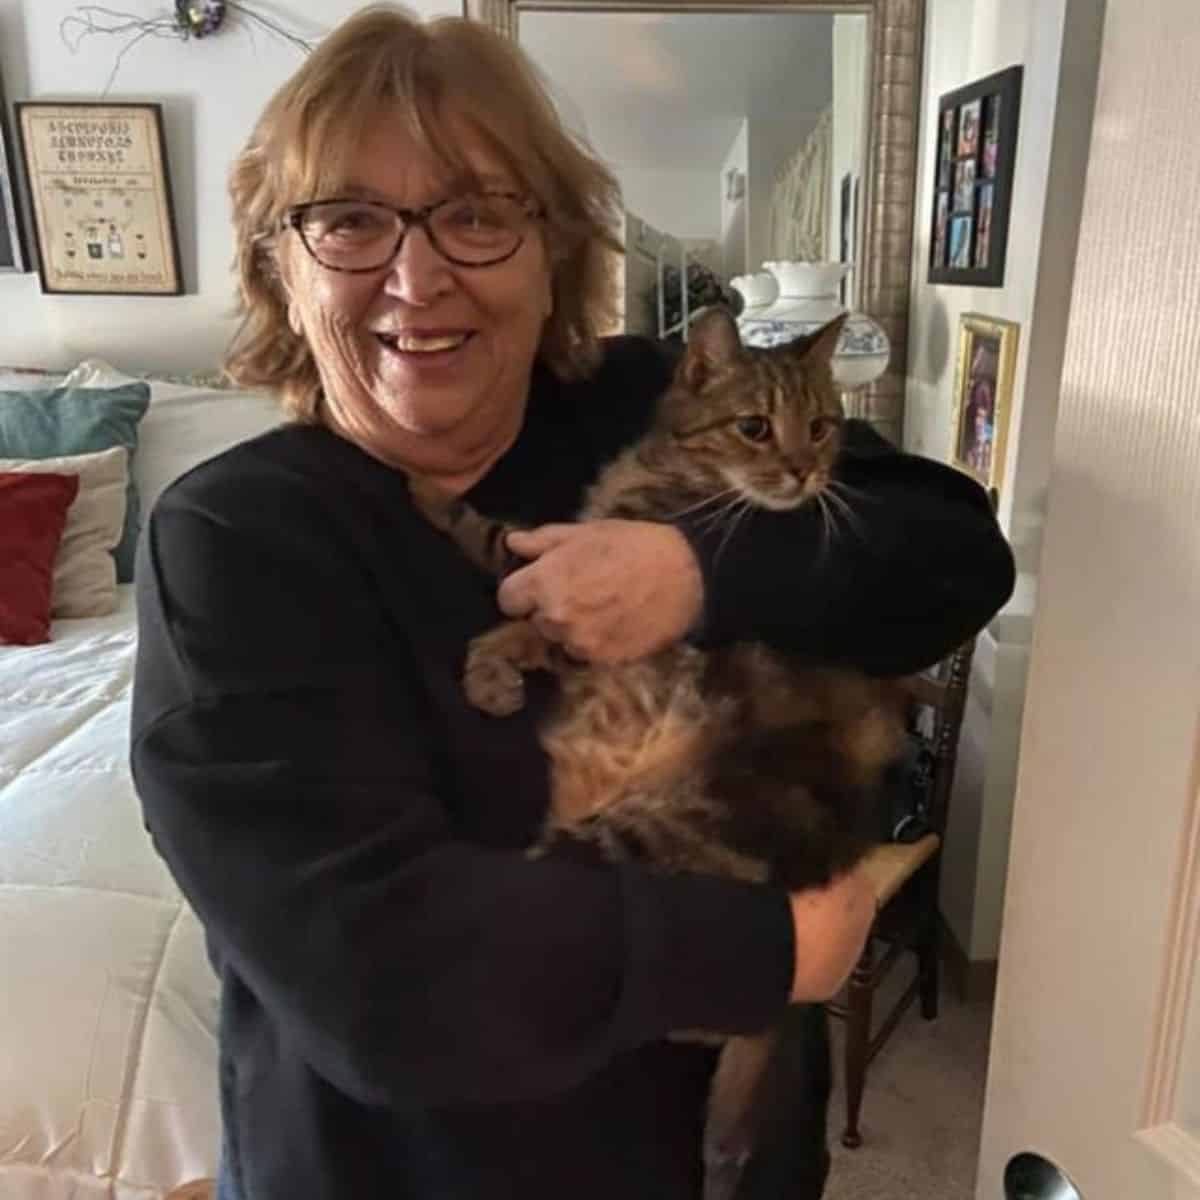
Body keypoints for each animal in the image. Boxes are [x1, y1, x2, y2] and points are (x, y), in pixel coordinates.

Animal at [410, 309, 902, 1200]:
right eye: (756, 426)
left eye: (821, 425)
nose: (804, 471)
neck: (675, 462)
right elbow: (512, 611)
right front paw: (492, 669)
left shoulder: (579, 580)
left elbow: (497, 543)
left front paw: (424, 491)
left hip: (627, 846)